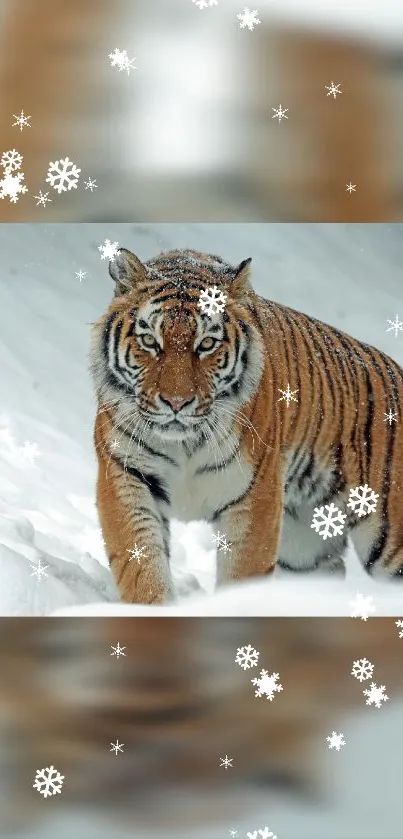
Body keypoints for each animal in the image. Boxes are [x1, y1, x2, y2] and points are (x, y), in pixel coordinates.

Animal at [90, 244, 403, 604]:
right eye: (150, 341)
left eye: (206, 344)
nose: (177, 402)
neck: (185, 443)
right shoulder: (126, 476)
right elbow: (141, 566)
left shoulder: (254, 496)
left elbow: (241, 574)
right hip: (304, 549)